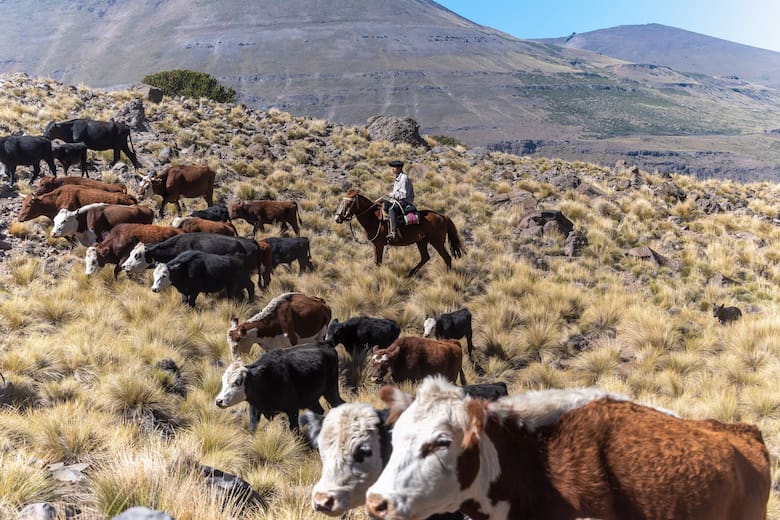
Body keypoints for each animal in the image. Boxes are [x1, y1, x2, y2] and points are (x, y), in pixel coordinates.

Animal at [215, 343, 344, 431]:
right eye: (223, 381)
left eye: (238, 382)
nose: (219, 401)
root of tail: (326, 343)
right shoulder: (254, 408)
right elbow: (252, 429)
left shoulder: (292, 410)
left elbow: (294, 430)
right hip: (311, 398)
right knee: (319, 411)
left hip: (331, 390)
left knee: (339, 404)